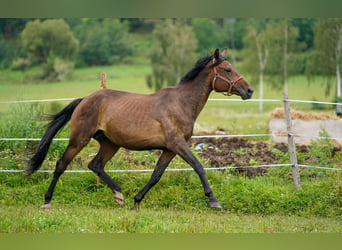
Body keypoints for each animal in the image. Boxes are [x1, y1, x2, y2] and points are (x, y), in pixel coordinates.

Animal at [27, 48, 254, 209]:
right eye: (227, 69)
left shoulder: (169, 149)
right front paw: (213, 201)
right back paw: (47, 201)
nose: (249, 90)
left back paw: (119, 195)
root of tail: (84, 99)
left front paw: (136, 201)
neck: (182, 103)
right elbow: (199, 167)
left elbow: (155, 176)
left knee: (96, 165)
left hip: (110, 144)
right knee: (61, 164)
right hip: (79, 139)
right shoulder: (178, 144)